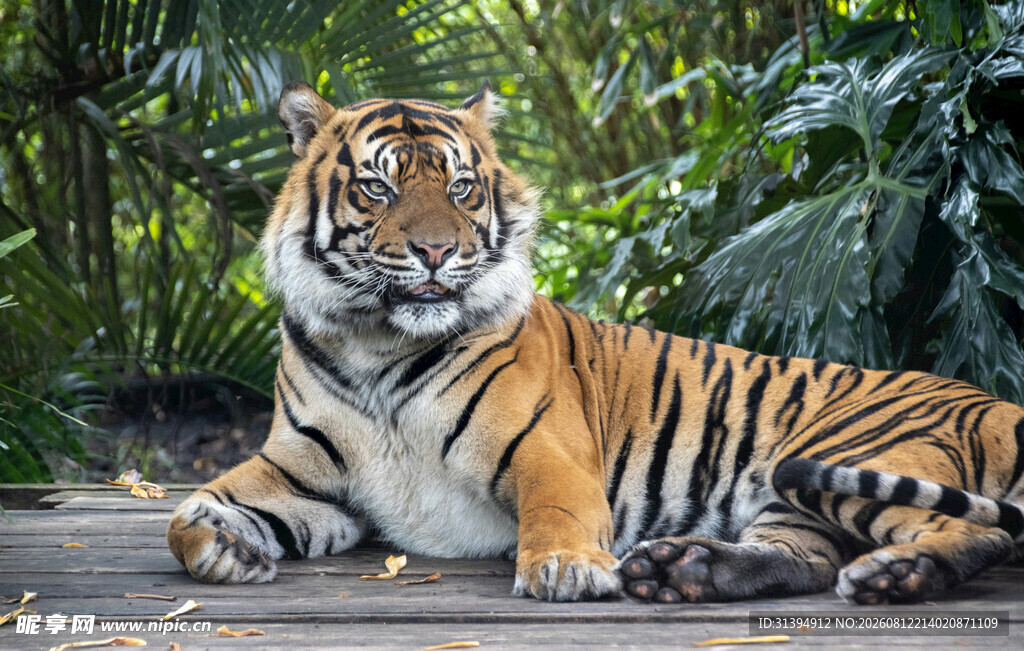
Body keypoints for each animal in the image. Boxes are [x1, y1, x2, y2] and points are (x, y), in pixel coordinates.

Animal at [167, 80, 1024, 605]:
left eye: (461, 188)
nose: (437, 252)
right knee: (808, 556)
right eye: (377, 187)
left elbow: (556, 507)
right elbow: (184, 511)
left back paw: (897, 573)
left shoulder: (547, 446)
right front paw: (226, 548)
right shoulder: (301, 470)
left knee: (980, 532)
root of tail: (996, 400)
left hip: (843, 454)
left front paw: (567, 569)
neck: (375, 347)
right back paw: (688, 568)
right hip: (794, 495)